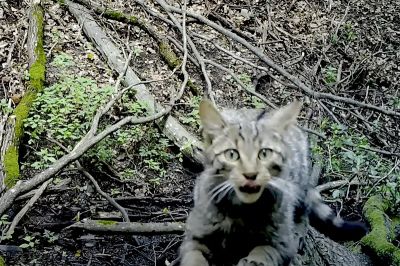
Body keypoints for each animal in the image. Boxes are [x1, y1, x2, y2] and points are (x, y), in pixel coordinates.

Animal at [180, 100, 368, 266]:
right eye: (232, 154)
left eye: (264, 154)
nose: (251, 174)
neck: (240, 212)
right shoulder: (194, 238)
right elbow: (193, 259)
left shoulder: (280, 245)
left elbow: (264, 253)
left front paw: (253, 261)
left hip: (299, 187)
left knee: (304, 210)